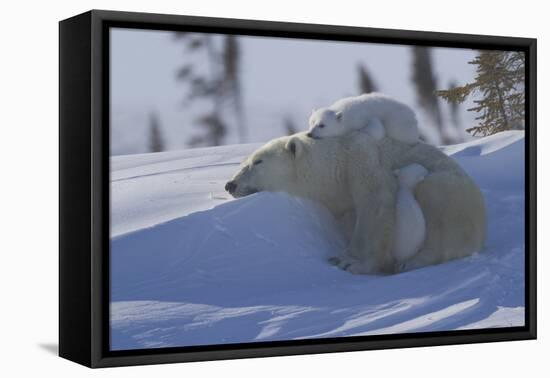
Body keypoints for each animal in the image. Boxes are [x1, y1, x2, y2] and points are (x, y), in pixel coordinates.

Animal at [225, 131, 488, 274]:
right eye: (245, 162)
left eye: (258, 161)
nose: (230, 184)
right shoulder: (339, 199)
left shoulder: (360, 156)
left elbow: (375, 200)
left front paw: (349, 261)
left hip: (451, 191)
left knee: (438, 209)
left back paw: (411, 262)